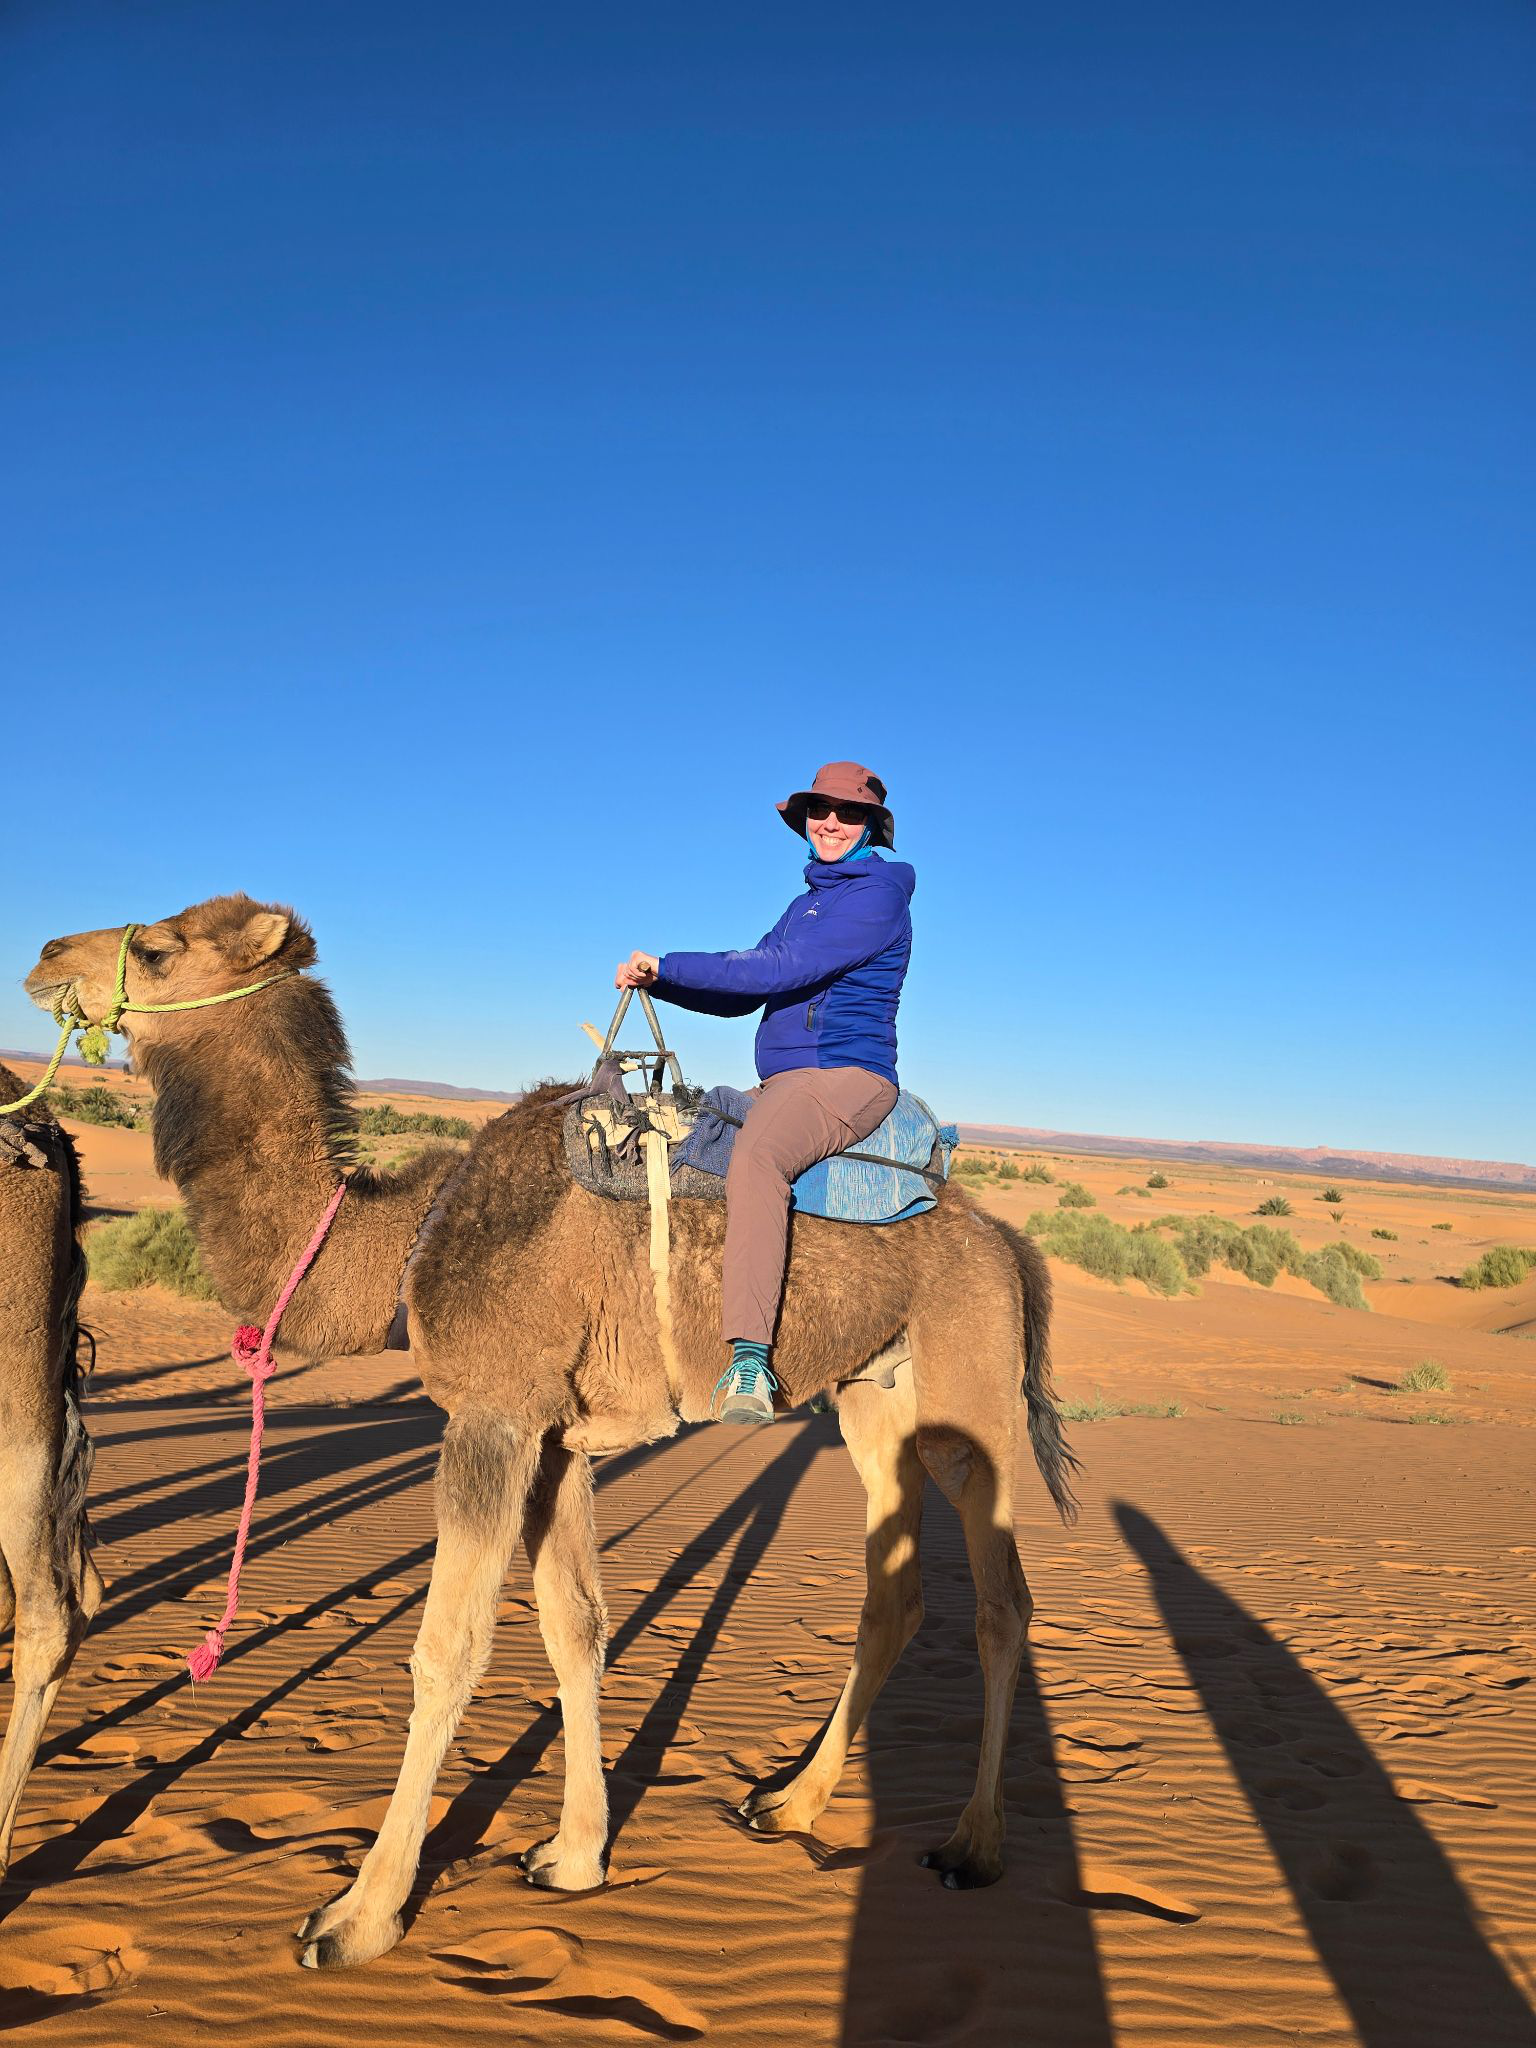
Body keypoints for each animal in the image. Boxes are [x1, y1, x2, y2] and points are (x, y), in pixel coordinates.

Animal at [23, 896, 1078, 1970]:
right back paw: (788, 1805)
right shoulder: (556, 1439)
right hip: (874, 1398)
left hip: (971, 1394)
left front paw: (358, 1916)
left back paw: (973, 1845)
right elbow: (574, 1630)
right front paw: (574, 1857)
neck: (407, 1243)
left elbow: (446, 1650)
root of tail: (1007, 1242)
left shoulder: (491, 1417)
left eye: (157, 949)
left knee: (1003, 1603)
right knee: (894, 1591)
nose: (45, 958)